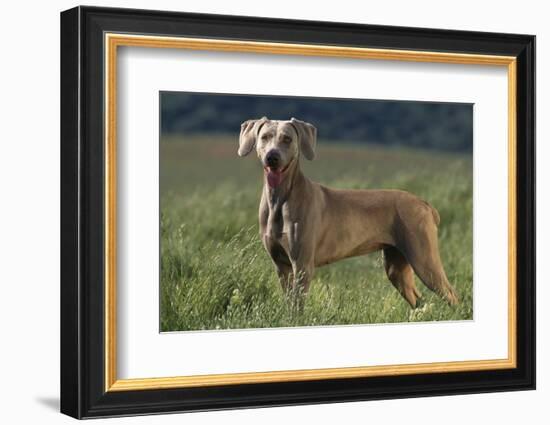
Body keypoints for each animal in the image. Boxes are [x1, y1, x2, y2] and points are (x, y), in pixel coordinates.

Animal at [239, 116, 460, 308]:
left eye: (287, 139)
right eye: (264, 137)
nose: (272, 157)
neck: (279, 199)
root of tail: (425, 204)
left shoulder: (302, 265)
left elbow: (297, 307)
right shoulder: (281, 266)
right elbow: (288, 304)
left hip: (424, 259)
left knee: (451, 295)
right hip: (396, 266)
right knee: (418, 300)